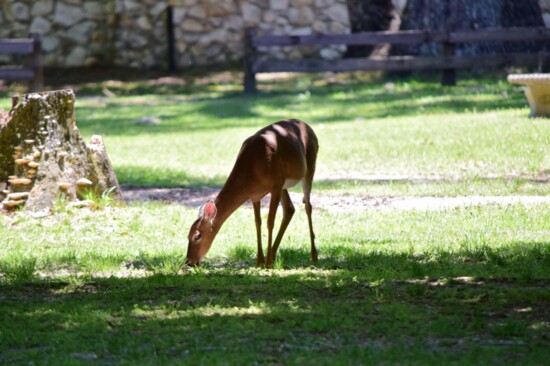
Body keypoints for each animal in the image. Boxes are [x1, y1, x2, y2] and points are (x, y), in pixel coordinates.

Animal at [185, 118, 320, 268]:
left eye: (197, 235)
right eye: (187, 235)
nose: (189, 262)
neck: (253, 168)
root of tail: (308, 127)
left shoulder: (275, 185)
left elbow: (270, 222)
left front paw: (267, 263)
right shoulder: (255, 195)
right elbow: (257, 223)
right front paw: (259, 260)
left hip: (309, 166)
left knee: (308, 206)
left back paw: (314, 255)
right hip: (284, 183)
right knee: (289, 208)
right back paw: (274, 253)